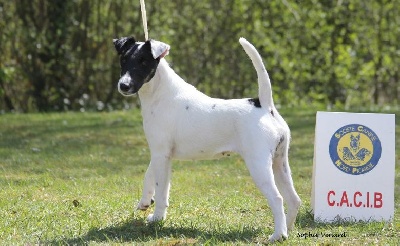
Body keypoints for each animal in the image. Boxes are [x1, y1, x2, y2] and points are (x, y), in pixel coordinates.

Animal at [112, 37, 300, 242]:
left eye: (143, 62)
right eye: (123, 59)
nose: (123, 85)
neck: (160, 93)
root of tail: (265, 106)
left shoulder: (161, 154)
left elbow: (161, 191)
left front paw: (157, 219)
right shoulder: (160, 153)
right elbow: (149, 176)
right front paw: (146, 202)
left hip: (259, 165)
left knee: (277, 199)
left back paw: (278, 235)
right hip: (280, 162)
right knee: (293, 199)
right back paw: (288, 229)